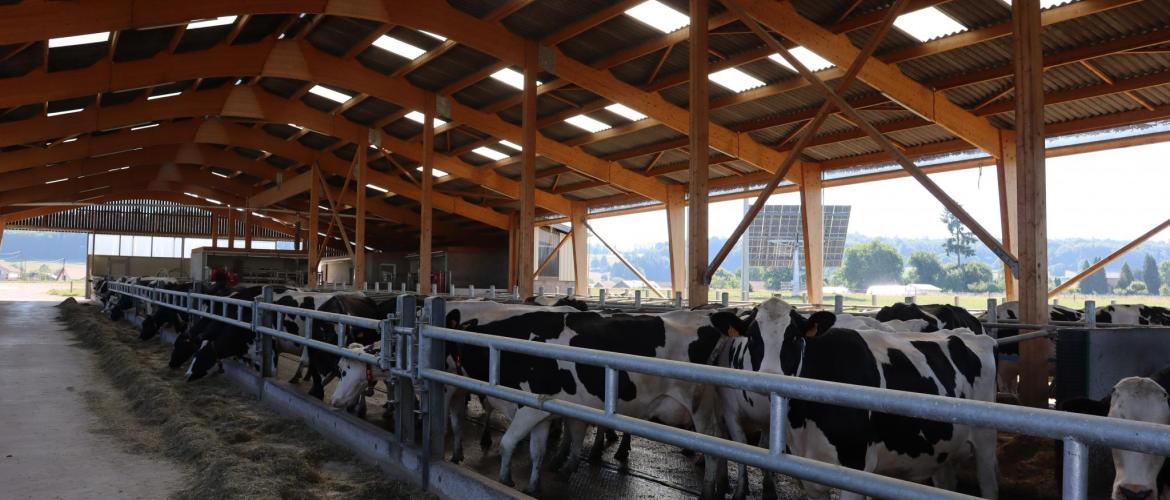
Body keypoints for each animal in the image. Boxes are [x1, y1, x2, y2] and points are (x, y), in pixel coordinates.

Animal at [442, 302, 734, 496]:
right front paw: (533, 485)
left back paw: (708, 490)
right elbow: (537, 451)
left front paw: (505, 480)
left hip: (699, 406)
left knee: (712, 446)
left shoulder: (526, 405)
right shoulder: (541, 409)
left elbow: (507, 443)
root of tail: (708, 317)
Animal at [720, 299, 996, 498]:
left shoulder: (854, 468)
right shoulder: (810, 473)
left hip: (985, 445)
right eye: (752, 337)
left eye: (795, 337)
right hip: (944, 450)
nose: (770, 376)